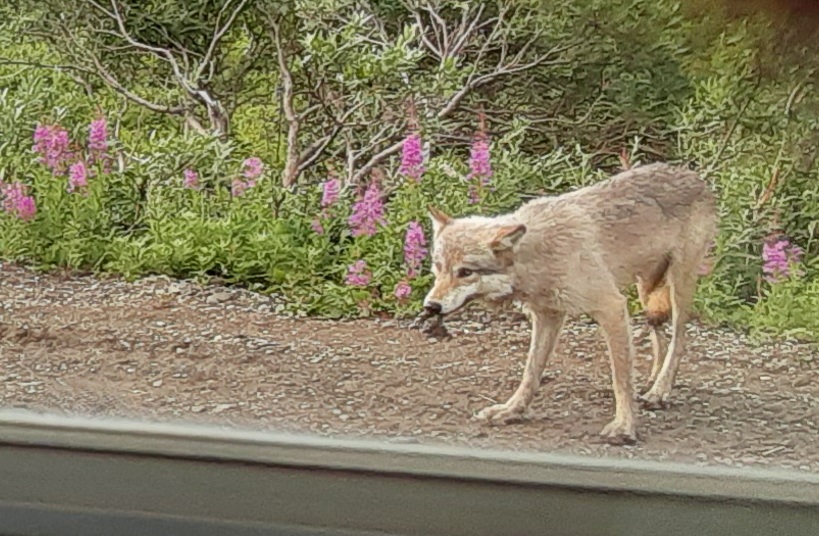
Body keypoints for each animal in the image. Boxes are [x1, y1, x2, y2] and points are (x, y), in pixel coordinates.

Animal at [422, 162, 718, 444]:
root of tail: (694, 176)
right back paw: (652, 383)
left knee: (679, 342)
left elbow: (620, 378)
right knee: (660, 339)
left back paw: (659, 391)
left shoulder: (611, 306)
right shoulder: (547, 316)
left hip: (677, 287)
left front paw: (624, 427)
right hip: (647, 294)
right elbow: (531, 372)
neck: (537, 254)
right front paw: (512, 410)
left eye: (465, 272)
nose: (431, 306)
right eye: (438, 268)